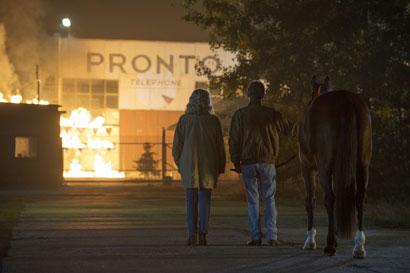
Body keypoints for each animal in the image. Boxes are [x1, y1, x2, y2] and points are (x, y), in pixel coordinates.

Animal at [296, 75, 374, 256]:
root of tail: (346, 99)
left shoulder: (307, 168)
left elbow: (310, 201)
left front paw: (310, 241)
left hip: (324, 168)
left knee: (330, 198)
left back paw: (330, 245)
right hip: (362, 164)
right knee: (359, 197)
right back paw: (359, 247)